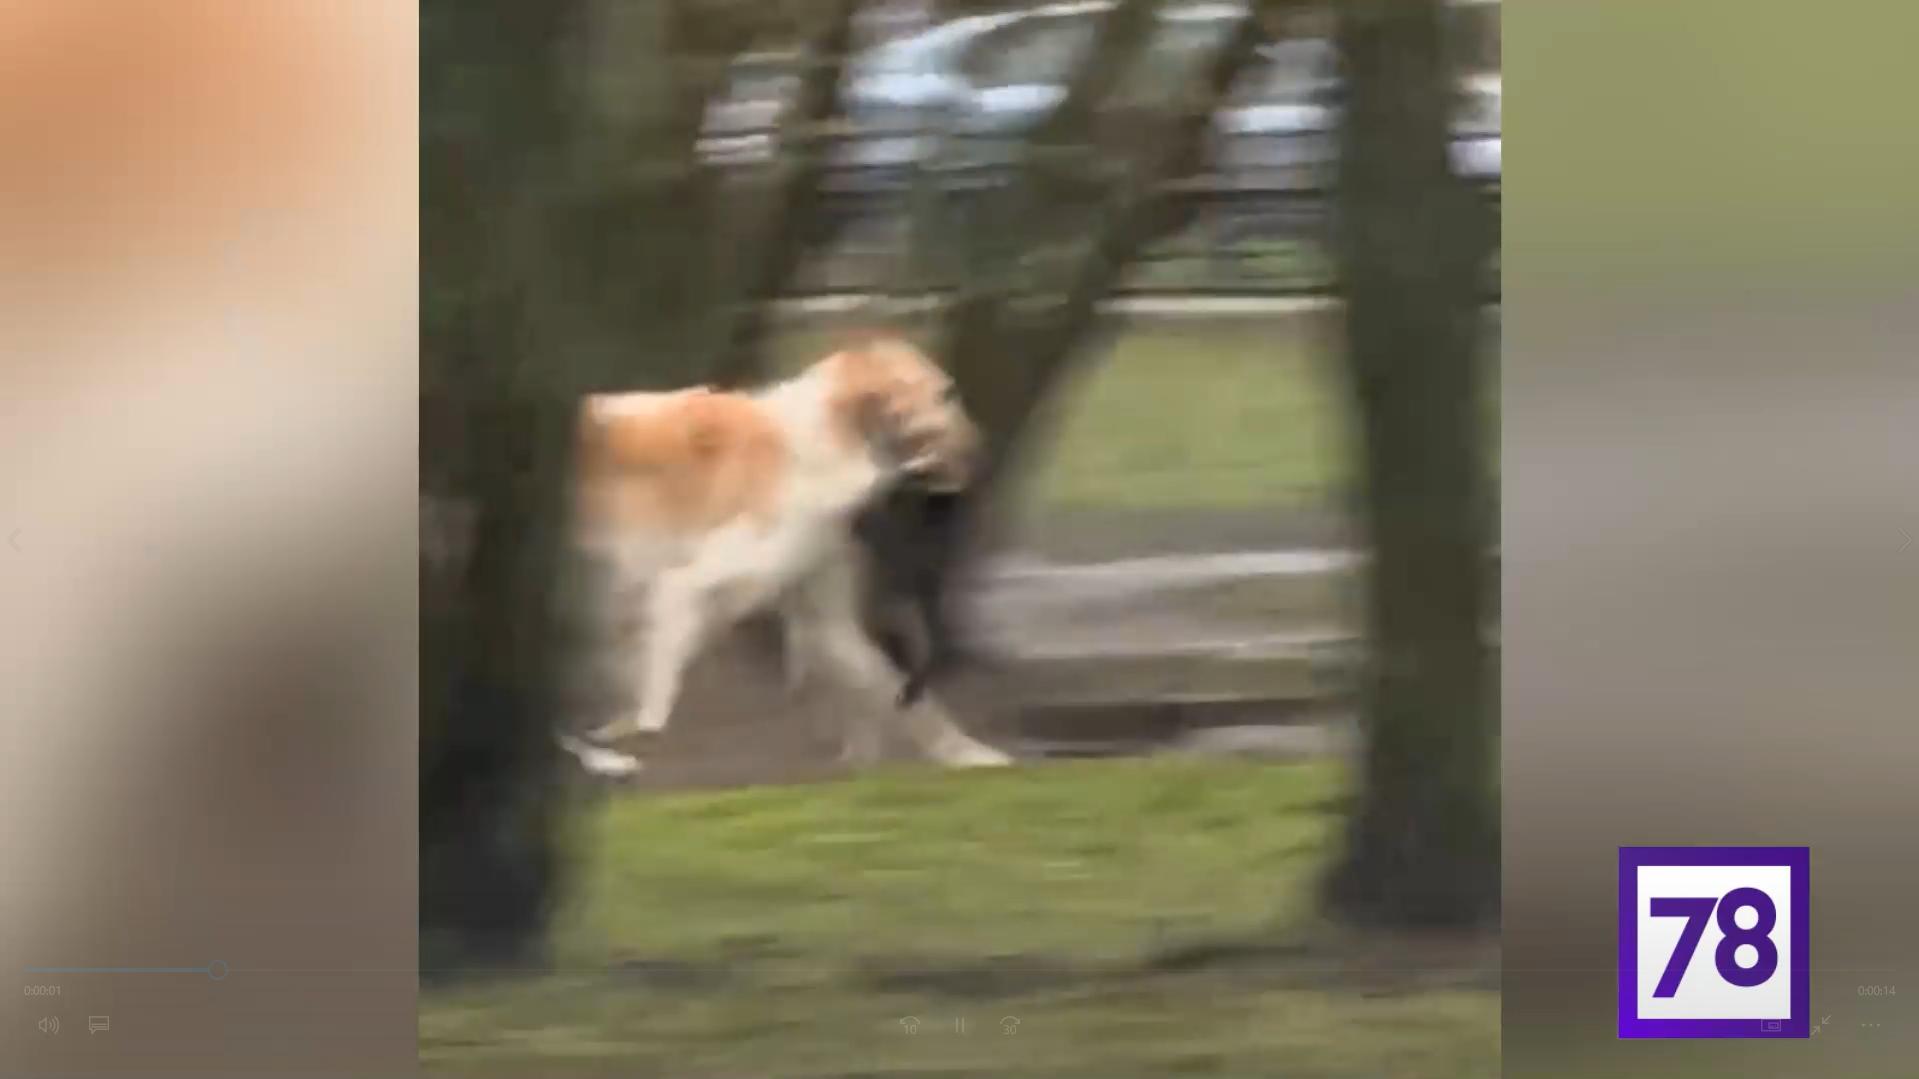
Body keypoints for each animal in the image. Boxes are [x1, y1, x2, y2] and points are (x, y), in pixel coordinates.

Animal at [567, 333, 1011, 769]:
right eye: (944, 395)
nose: (985, 455)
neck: (826, 443)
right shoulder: (683, 586)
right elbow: (654, 703)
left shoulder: (826, 618)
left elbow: (906, 698)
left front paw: (971, 754)